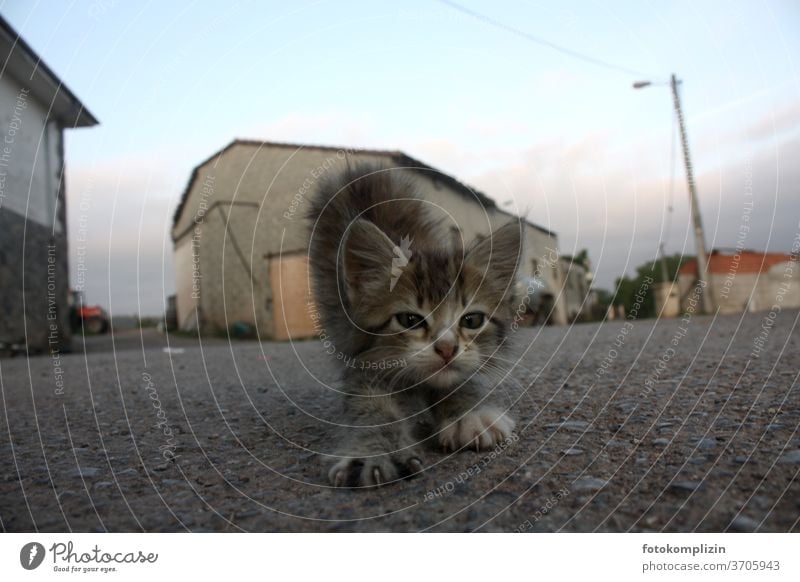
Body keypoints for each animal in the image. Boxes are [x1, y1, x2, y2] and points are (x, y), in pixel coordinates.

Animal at [306, 164, 520, 488]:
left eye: (472, 320)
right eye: (409, 320)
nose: (446, 348)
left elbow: (459, 379)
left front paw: (469, 413)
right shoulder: (362, 362)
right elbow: (370, 406)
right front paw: (377, 450)